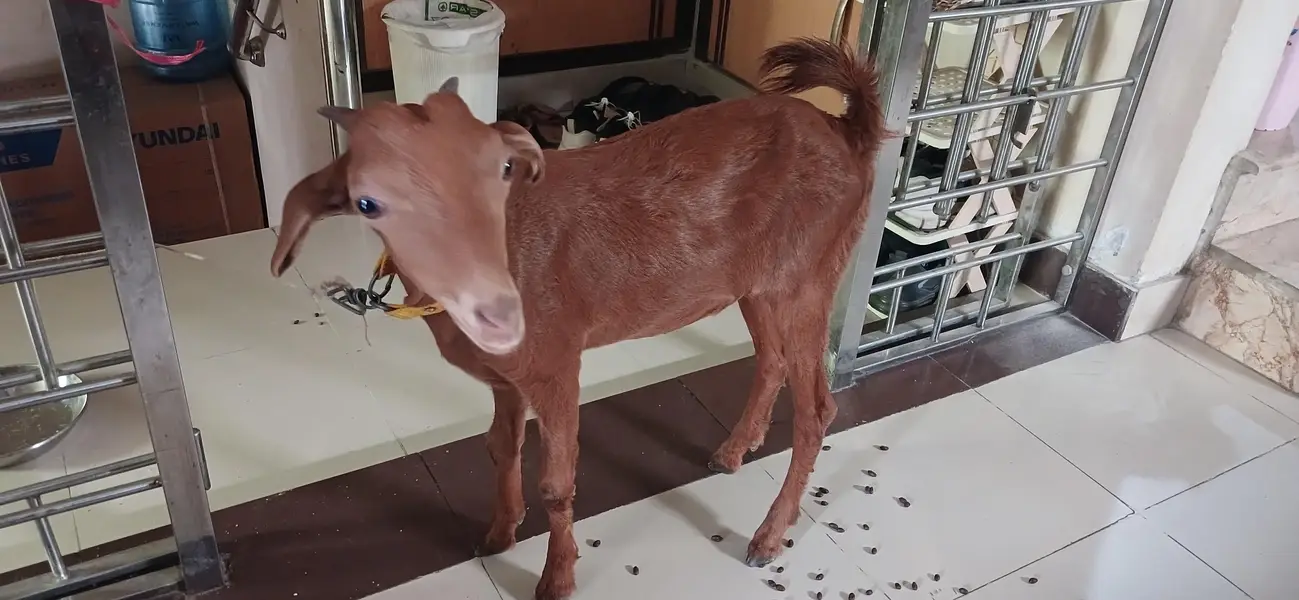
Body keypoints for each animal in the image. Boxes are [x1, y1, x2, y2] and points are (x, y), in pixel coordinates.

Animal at [270, 37, 884, 600]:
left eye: (495, 170)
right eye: (368, 201)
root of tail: (847, 131)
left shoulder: (556, 364)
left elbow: (556, 484)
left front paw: (556, 579)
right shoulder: (506, 377)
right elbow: (500, 446)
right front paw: (497, 534)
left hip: (808, 279)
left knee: (818, 411)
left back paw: (767, 536)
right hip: (758, 284)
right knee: (772, 359)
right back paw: (733, 452)